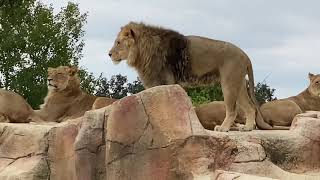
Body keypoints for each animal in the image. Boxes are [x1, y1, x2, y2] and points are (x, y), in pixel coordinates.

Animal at [109, 21, 274, 131]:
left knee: (232, 110)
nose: (109, 54)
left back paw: (223, 128)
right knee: (250, 107)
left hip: (229, 83)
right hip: (238, 84)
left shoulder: (167, 80)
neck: (142, 52)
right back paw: (247, 128)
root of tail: (245, 55)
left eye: (118, 42)